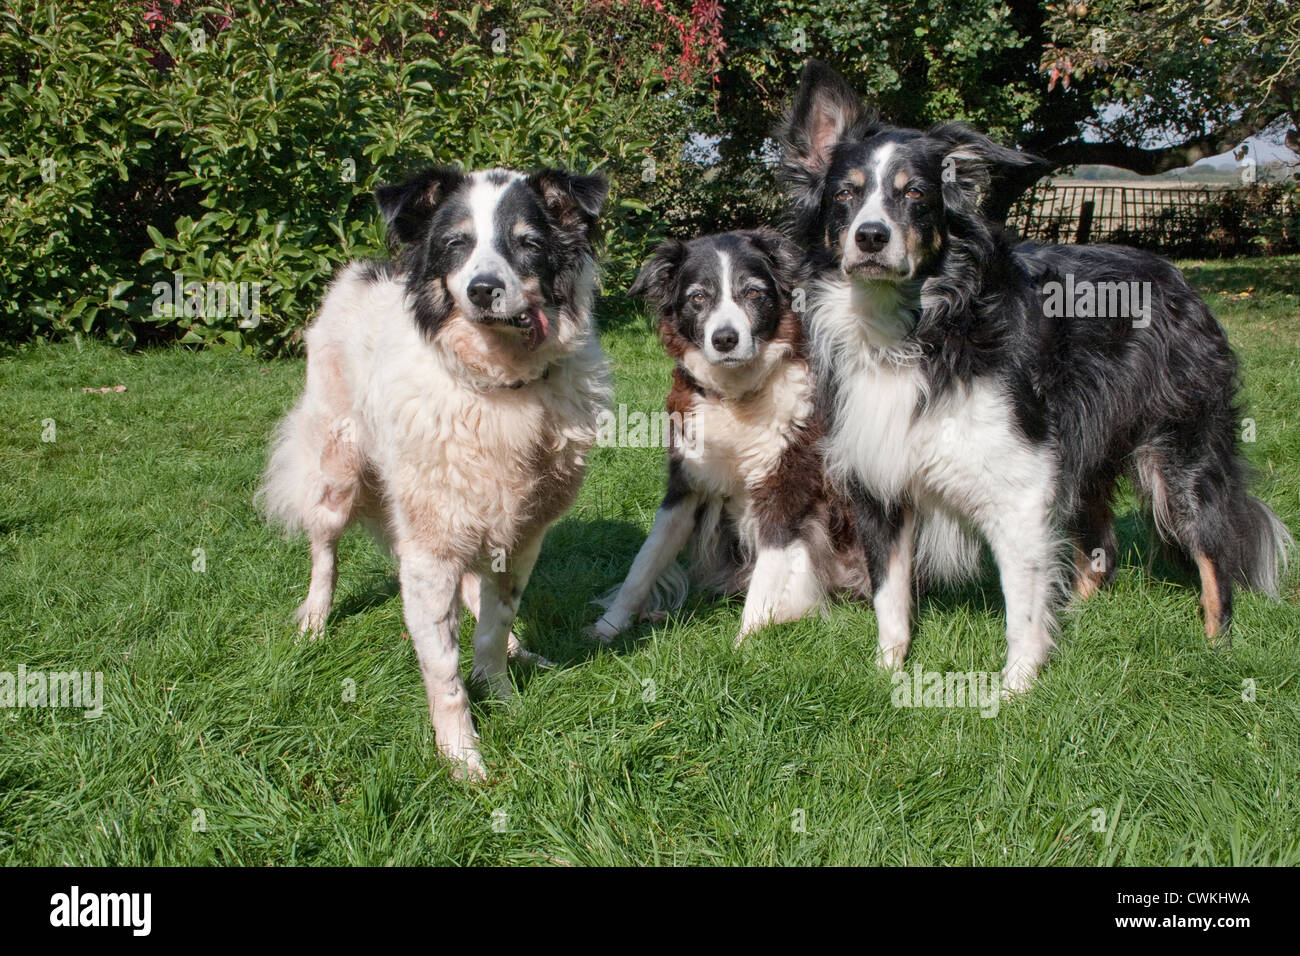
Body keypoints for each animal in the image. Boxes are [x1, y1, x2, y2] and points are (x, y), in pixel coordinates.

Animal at [261, 164, 616, 780]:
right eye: (456, 245)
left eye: (528, 244)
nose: (482, 289)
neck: (497, 388)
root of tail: (360, 270)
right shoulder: (428, 552)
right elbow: (443, 672)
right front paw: (462, 759)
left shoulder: (520, 537)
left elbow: (493, 628)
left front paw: (503, 695)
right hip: (338, 474)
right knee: (324, 552)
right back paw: (314, 623)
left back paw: (520, 651)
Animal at [595, 231, 868, 647]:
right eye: (698, 297)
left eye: (753, 292)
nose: (725, 339)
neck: (737, 397)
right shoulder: (685, 483)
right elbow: (645, 561)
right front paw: (610, 625)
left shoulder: (785, 487)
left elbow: (768, 575)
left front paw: (747, 645)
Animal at [774, 63, 1284, 691]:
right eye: (845, 194)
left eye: (915, 194)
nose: (871, 236)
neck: (921, 325)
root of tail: (1176, 277)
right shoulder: (879, 476)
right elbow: (889, 596)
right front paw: (888, 672)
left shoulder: (1020, 480)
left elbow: (1019, 600)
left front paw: (1017, 686)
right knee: (1102, 546)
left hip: (1183, 452)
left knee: (1214, 554)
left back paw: (1217, 650)